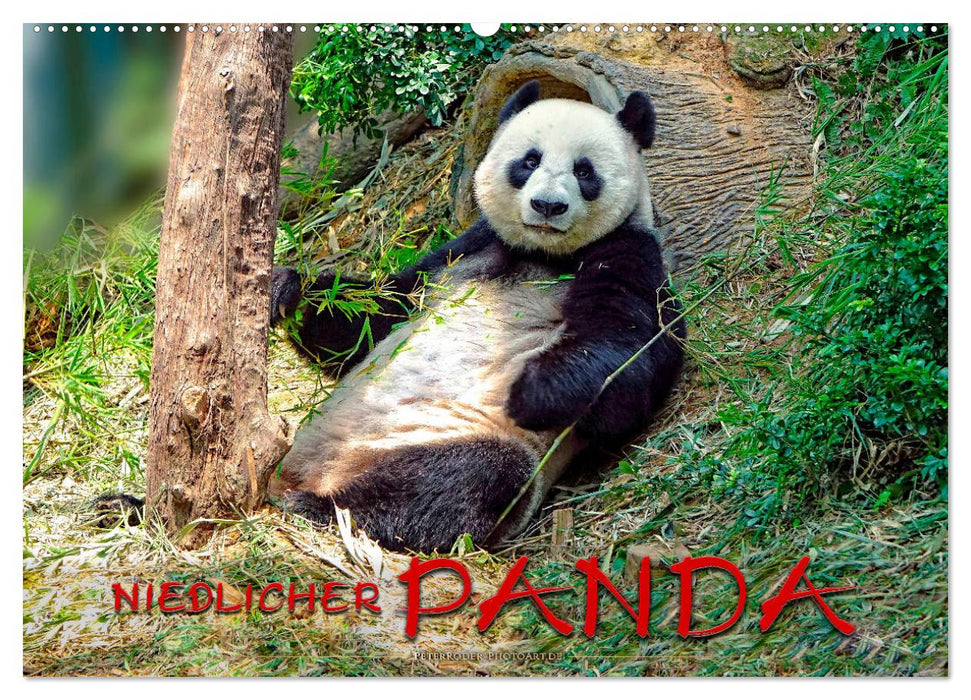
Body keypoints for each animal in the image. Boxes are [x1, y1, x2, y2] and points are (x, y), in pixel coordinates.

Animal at [268, 80, 686, 552]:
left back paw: (325, 507)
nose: (547, 206)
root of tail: (320, 471)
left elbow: (628, 360)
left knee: (460, 480)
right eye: (530, 160)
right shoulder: (465, 250)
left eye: (584, 171)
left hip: (450, 436)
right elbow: (376, 316)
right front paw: (285, 288)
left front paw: (533, 392)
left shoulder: (629, 253)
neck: (542, 254)